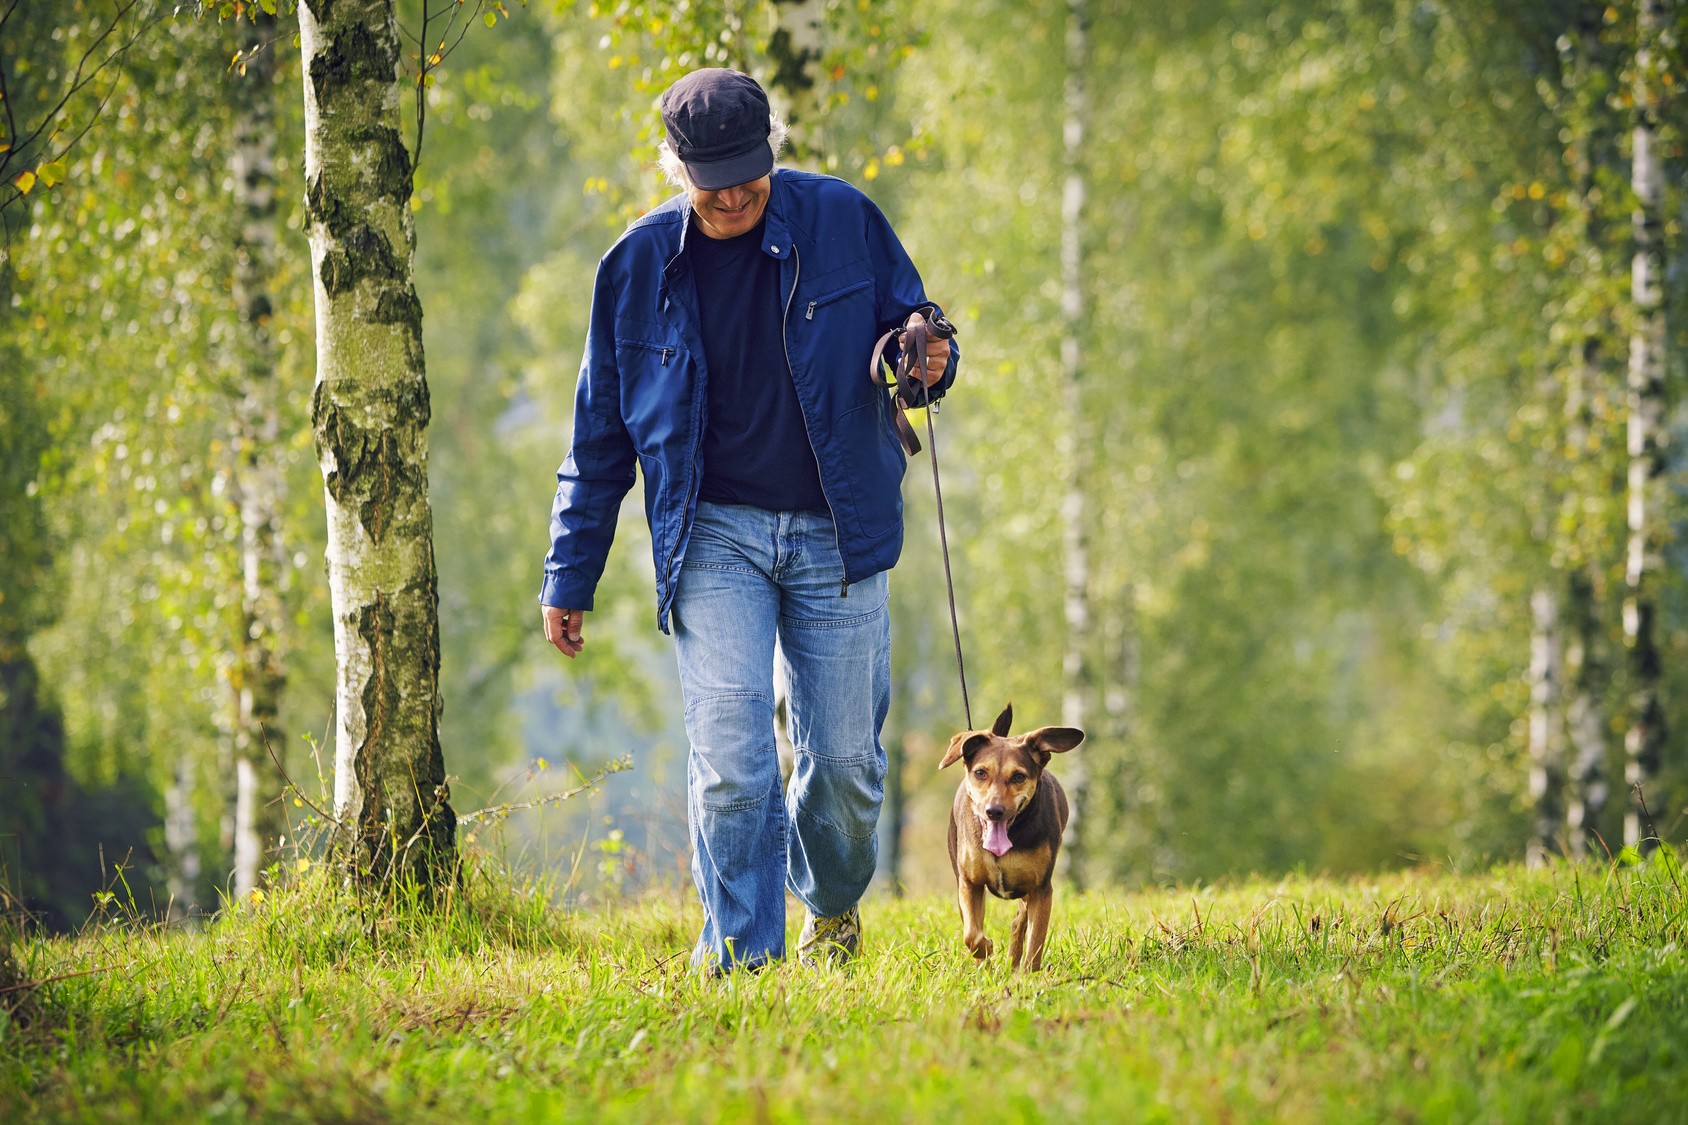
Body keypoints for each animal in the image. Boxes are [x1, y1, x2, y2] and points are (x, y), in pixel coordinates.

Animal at [938, 695, 1080, 966]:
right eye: (980, 772)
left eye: (1018, 776)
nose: (994, 811)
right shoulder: (969, 883)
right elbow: (972, 934)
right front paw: (985, 950)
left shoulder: (1041, 889)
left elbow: (1035, 942)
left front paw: (1027, 973)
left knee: (1019, 922)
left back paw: (1014, 964)